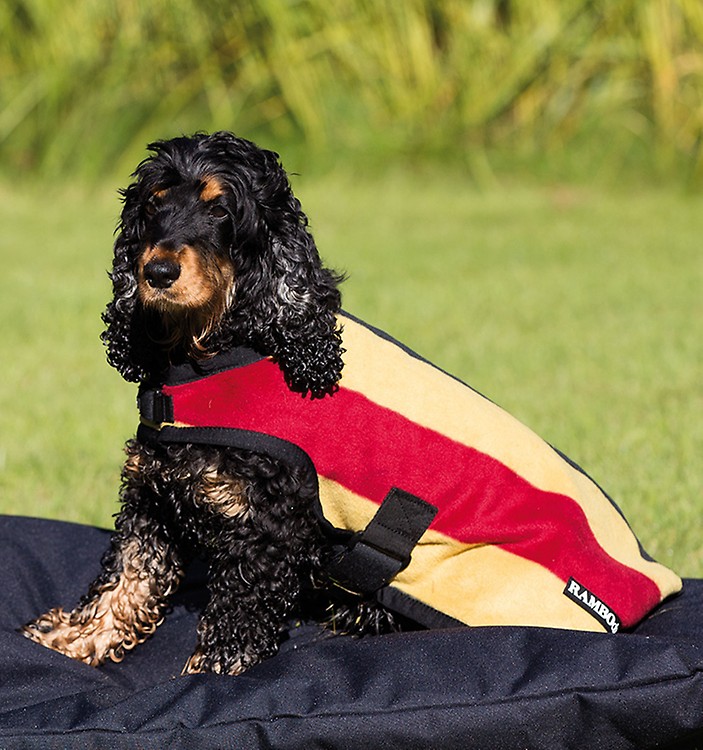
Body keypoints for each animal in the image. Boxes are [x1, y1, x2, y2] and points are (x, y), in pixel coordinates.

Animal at [22, 132, 680, 680]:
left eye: (219, 208)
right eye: (155, 203)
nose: (155, 271)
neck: (224, 349)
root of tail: (651, 578)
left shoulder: (268, 523)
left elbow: (235, 619)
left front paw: (208, 676)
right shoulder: (154, 492)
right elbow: (125, 580)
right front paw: (73, 640)